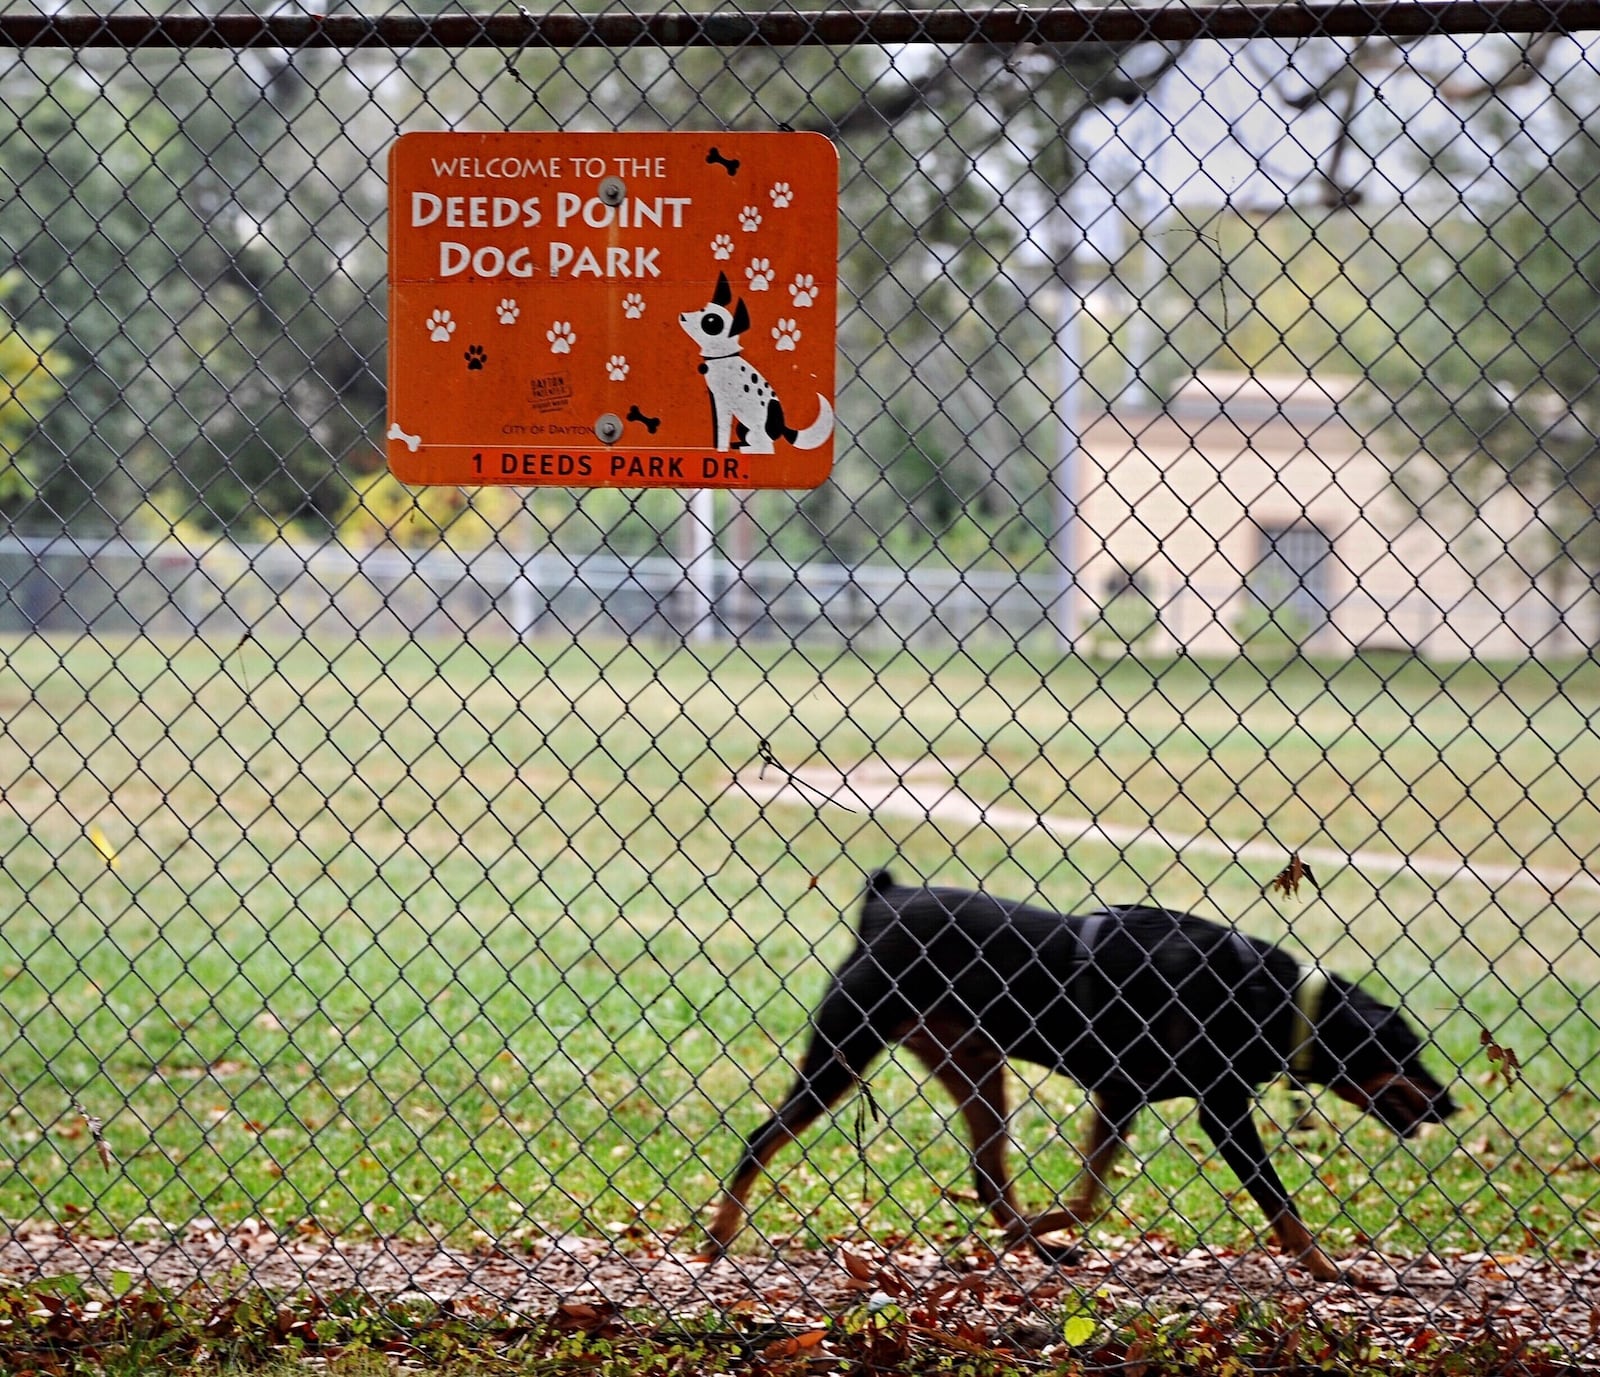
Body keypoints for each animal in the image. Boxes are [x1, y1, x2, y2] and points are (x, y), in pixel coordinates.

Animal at [707, 870, 1459, 1279]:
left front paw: (1048, 1225)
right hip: (845, 1048)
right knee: (760, 1138)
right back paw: (717, 1241)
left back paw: (1033, 1243)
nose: (1449, 1104)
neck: (1276, 999)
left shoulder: (1120, 1095)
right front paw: (1328, 1268)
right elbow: (1280, 1204)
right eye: (1404, 1047)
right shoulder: (1218, 1110)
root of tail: (881, 902)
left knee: (988, 1174)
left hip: (974, 1063)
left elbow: (1090, 1195)